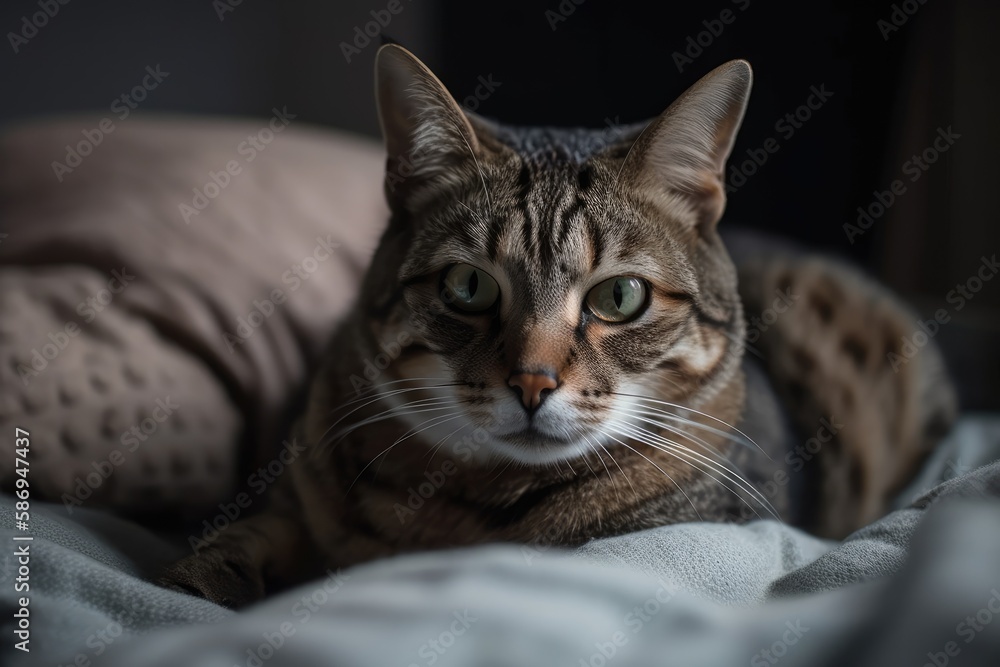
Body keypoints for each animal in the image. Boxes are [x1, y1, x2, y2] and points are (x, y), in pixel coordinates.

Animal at [160, 41, 956, 604]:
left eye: (620, 297)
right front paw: (203, 575)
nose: (533, 383)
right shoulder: (299, 477)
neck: (460, 503)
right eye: (469, 286)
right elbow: (252, 529)